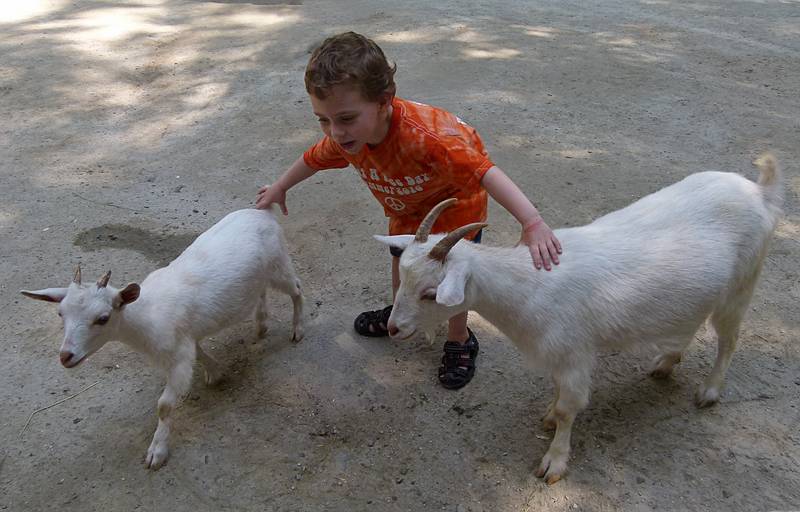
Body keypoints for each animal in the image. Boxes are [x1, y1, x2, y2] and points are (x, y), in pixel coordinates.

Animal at [21, 207, 304, 468]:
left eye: (103, 318)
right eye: (60, 313)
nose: (66, 356)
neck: (146, 316)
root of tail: (261, 210)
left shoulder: (178, 358)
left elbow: (164, 405)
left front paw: (156, 452)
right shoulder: (185, 341)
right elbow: (199, 352)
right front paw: (215, 371)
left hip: (279, 263)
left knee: (297, 290)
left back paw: (297, 329)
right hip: (261, 275)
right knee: (261, 291)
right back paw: (261, 324)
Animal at [376, 153, 780, 484]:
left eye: (431, 293)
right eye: (404, 277)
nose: (394, 328)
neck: (529, 285)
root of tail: (760, 192)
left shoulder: (575, 354)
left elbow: (570, 407)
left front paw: (554, 462)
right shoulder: (559, 356)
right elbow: (557, 397)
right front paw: (548, 417)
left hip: (742, 284)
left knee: (729, 338)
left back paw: (709, 392)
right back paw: (666, 363)